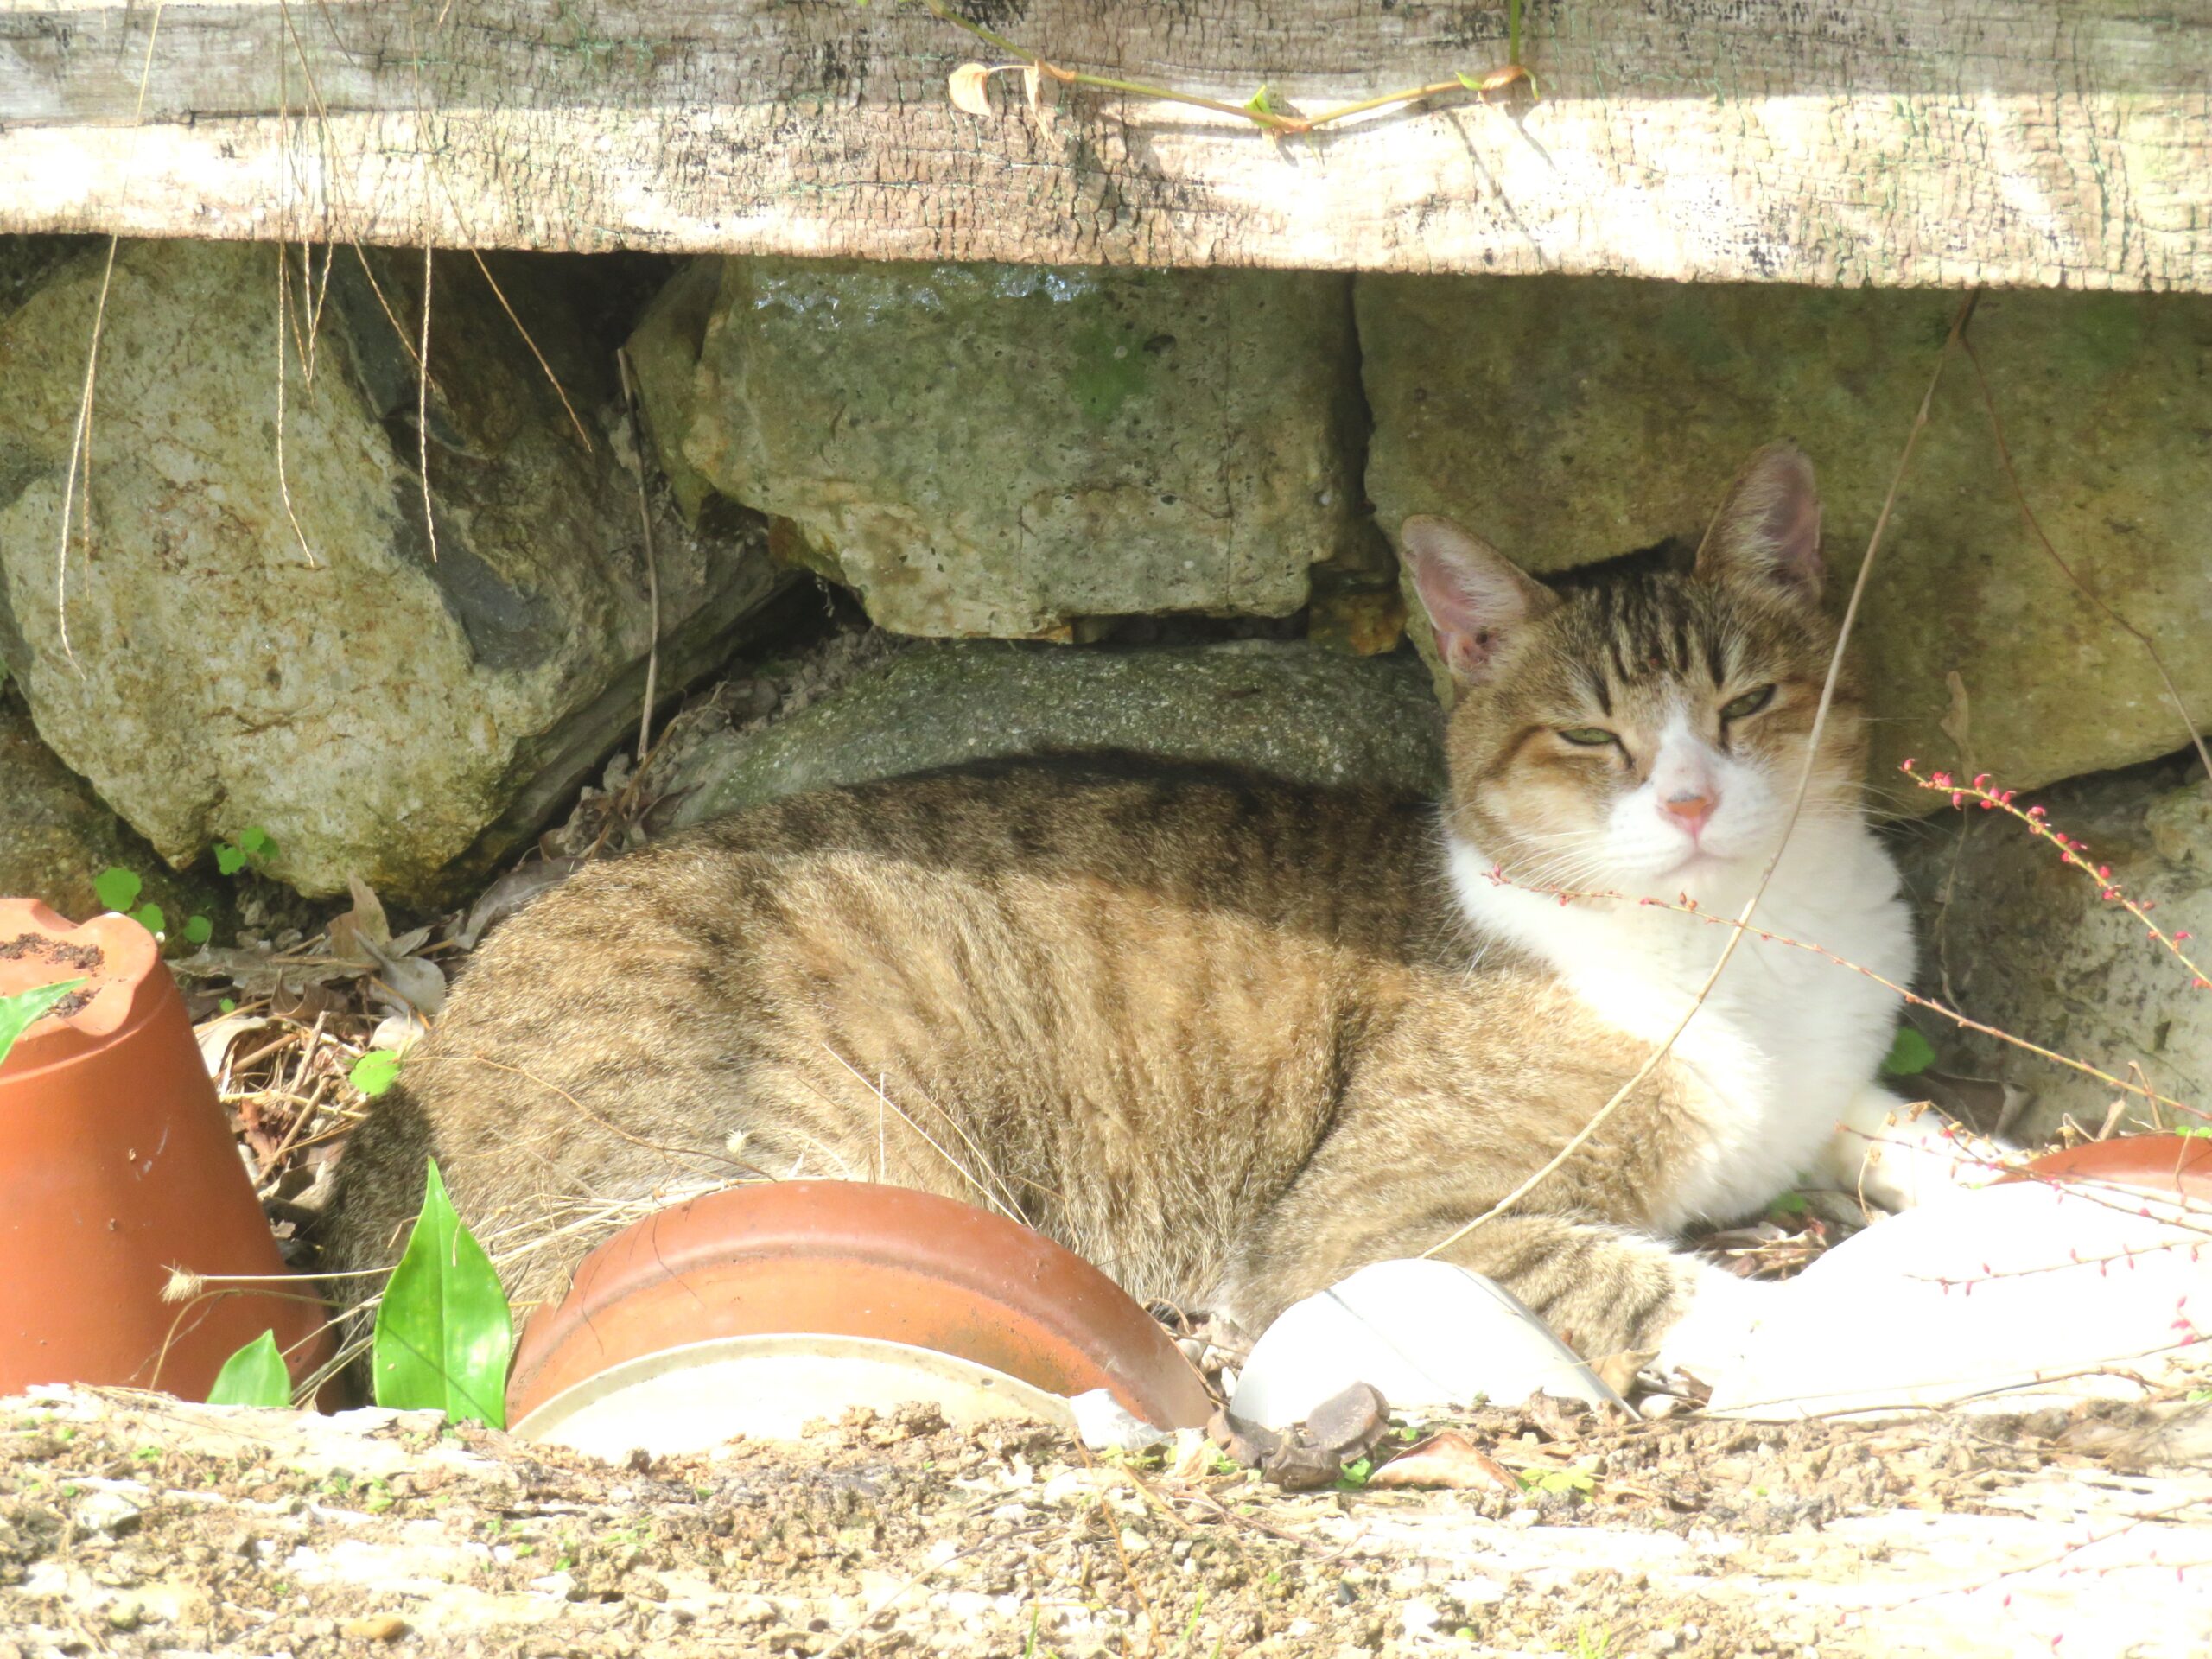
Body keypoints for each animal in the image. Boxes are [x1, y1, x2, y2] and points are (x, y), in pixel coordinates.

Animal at [321, 444, 1981, 1389]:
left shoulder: (1831, 1078)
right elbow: (1644, 1275)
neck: (1741, 944)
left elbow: (1910, 1127)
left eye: (1748, 704)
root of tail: (415, 1076)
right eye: (1590, 737)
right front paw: (1825, 1320)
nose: (1694, 799)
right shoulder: (1378, 1221)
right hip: (805, 1164)